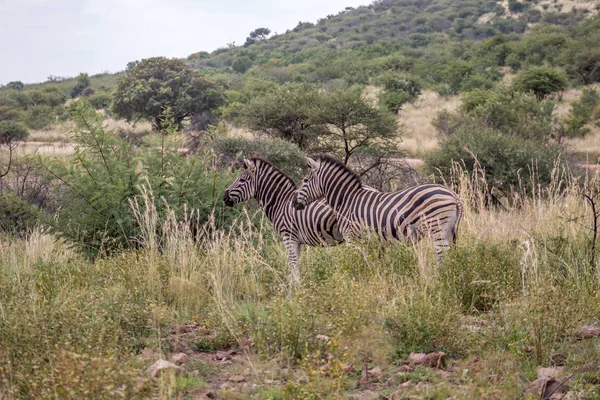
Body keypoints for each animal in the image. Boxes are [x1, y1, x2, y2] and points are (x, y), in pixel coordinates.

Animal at [294, 155, 464, 260]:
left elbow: (354, 262)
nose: (294, 202)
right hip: (449, 231)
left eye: (305, 180)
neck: (346, 200)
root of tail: (452, 193)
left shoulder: (351, 237)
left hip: (437, 229)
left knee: (443, 256)